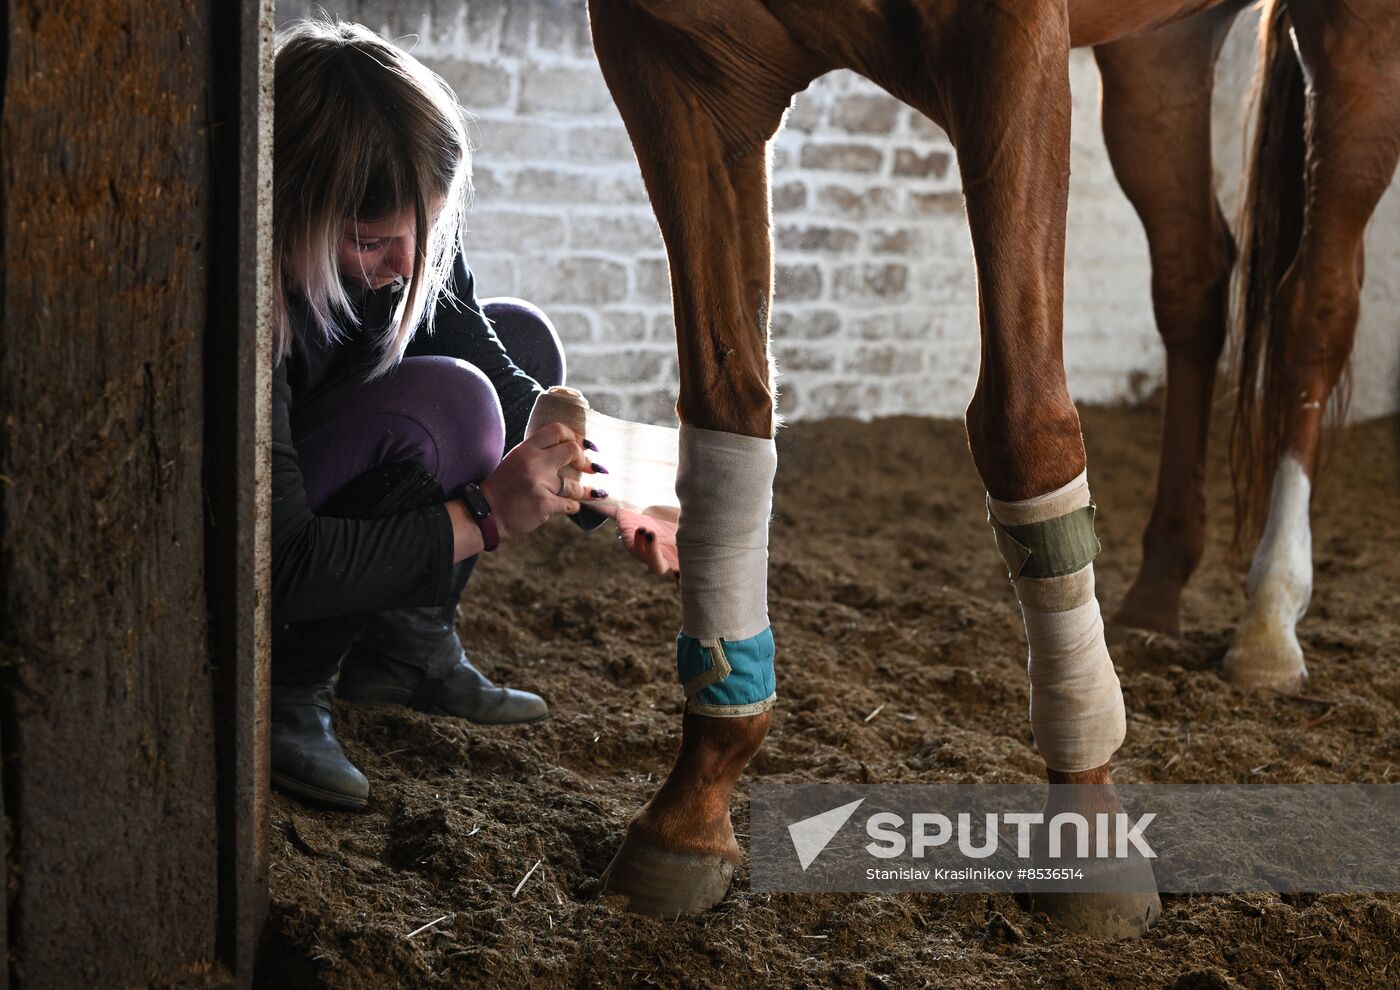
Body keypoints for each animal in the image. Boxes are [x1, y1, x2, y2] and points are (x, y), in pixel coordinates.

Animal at [585, 0, 1400, 935]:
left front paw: (1091, 835)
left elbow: (1023, 423)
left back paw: (1269, 621)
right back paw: (1157, 589)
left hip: (1354, 37)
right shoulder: (679, 67)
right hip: (1160, 53)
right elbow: (727, 414)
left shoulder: (1008, 43)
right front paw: (691, 807)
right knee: (1194, 282)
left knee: (1315, 307)